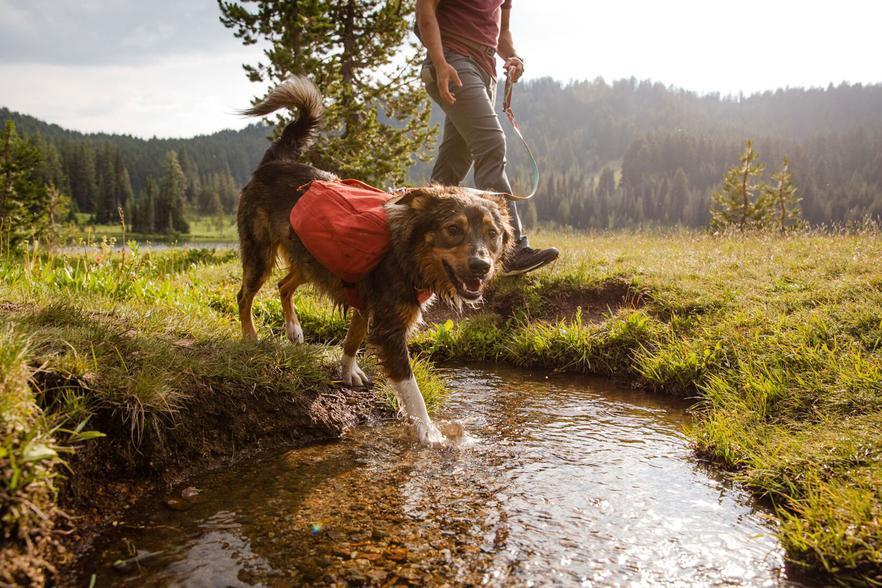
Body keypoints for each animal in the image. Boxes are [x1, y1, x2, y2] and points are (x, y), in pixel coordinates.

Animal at [237, 77, 512, 446]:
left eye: (493, 234)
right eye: (453, 230)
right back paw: (250, 337)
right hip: (260, 254)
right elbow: (412, 391)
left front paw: (348, 369)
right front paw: (430, 434)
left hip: (311, 261)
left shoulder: (365, 300)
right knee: (245, 295)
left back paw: (294, 329)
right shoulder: (390, 328)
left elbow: (354, 336)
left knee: (284, 284)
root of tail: (272, 164)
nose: (482, 267)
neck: (406, 250)